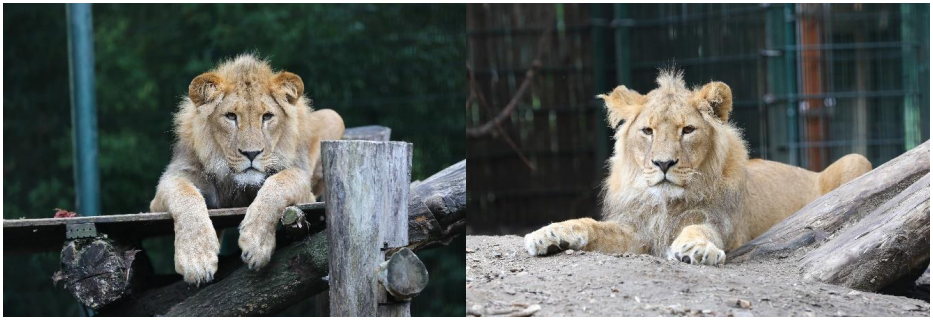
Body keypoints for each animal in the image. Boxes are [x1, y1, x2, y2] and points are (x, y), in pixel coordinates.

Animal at [151, 53, 344, 284]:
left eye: (267, 116)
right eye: (231, 116)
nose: (251, 154)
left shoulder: (305, 189)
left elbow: (280, 183)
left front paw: (256, 241)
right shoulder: (166, 189)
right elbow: (185, 195)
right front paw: (196, 257)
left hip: (333, 115)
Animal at [520, 71, 872, 266]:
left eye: (687, 130)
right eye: (647, 131)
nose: (663, 163)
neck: (666, 203)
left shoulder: (723, 226)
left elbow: (700, 230)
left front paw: (696, 248)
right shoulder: (638, 232)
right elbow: (591, 225)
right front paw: (550, 234)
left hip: (856, 159)